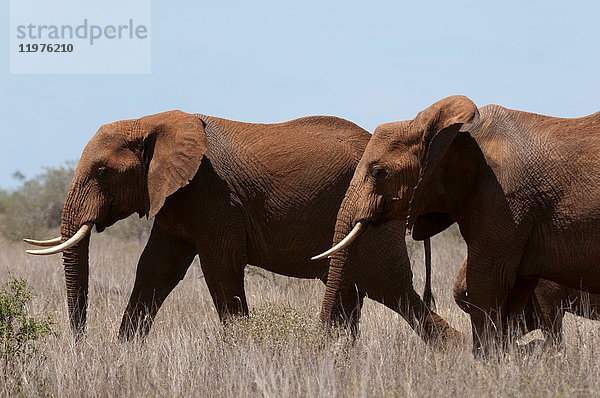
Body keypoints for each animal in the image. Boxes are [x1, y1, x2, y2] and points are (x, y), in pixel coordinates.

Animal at [24, 110, 464, 344]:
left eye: (101, 172)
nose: (81, 344)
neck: (150, 121)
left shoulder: (213, 194)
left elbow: (220, 268)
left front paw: (239, 350)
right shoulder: (177, 198)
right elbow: (155, 269)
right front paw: (123, 352)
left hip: (376, 219)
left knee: (389, 286)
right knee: (358, 289)